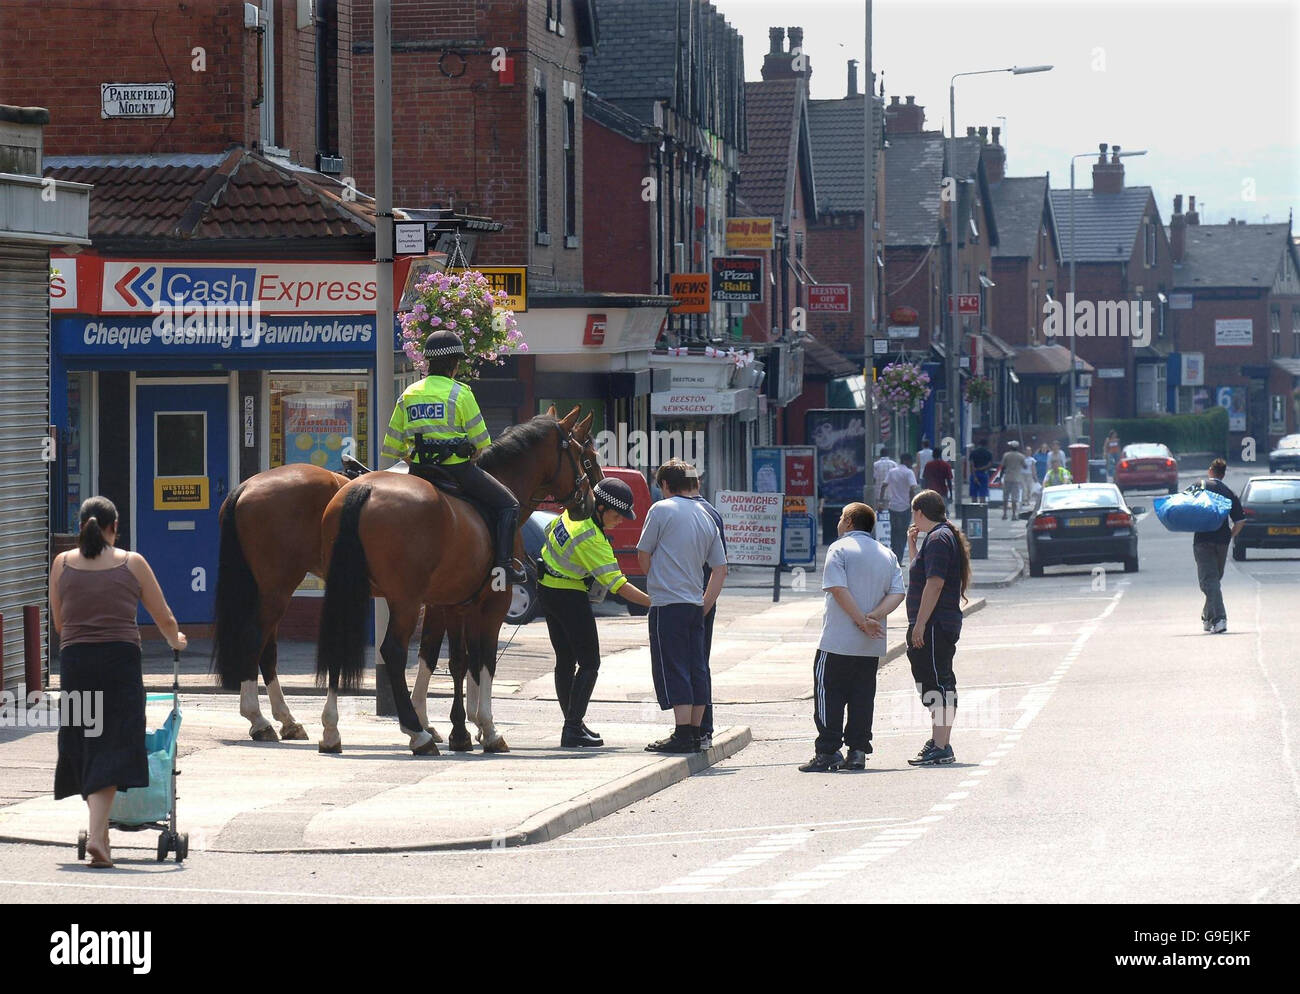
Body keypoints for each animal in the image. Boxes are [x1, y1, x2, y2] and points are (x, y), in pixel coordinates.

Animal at [317, 407, 595, 753]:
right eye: (584, 454)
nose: (589, 502)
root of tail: (364, 489)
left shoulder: (449, 603)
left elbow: (446, 658)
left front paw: (459, 727)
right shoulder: (492, 604)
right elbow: (481, 659)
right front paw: (483, 727)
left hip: (347, 589)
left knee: (338, 645)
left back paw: (332, 730)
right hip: (405, 602)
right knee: (393, 652)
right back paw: (416, 733)